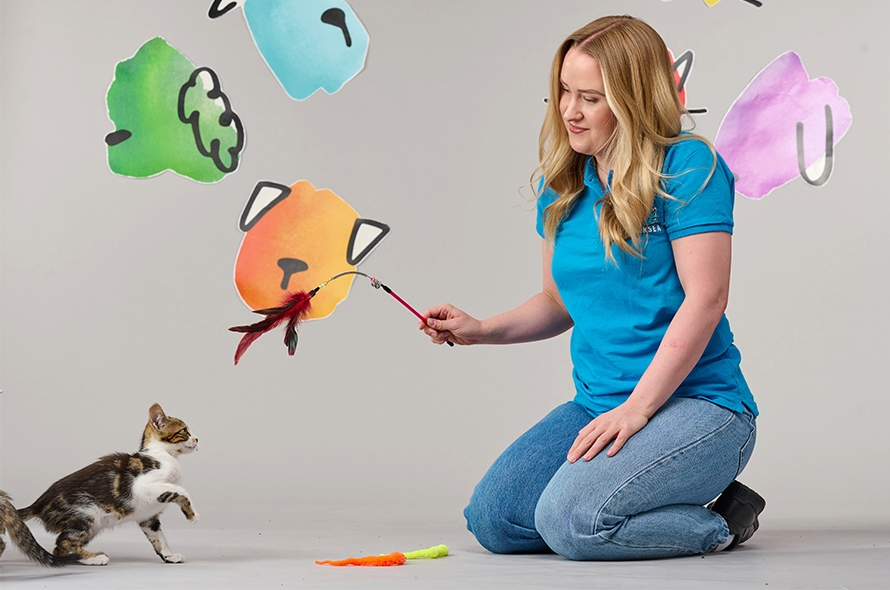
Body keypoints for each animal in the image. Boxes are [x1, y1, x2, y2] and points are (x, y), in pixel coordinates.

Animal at [15, 404, 198, 568]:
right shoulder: (143, 485)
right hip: (87, 512)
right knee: (64, 542)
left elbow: (159, 537)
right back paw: (95, 558)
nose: (197, 439)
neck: (164, 454)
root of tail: (38, 503)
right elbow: (180, 490)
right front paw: (193, 515)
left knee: (59, 549)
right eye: (184, 431)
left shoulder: (148, 518)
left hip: (91, 524)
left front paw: (169, 555)